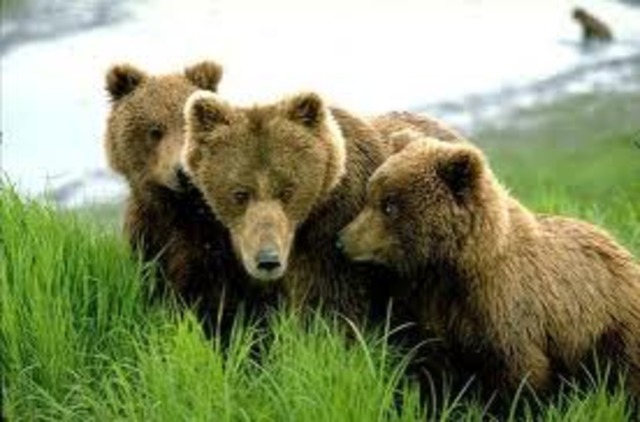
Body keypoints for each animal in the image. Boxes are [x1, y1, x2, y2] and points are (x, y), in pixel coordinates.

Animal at [338, 137, 640, 397]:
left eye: (389, 205)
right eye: (369, 197)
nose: (342, 240)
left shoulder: (505, 308)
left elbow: (519, 375)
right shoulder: (436, 310)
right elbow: (432, 365)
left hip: (611, 326)